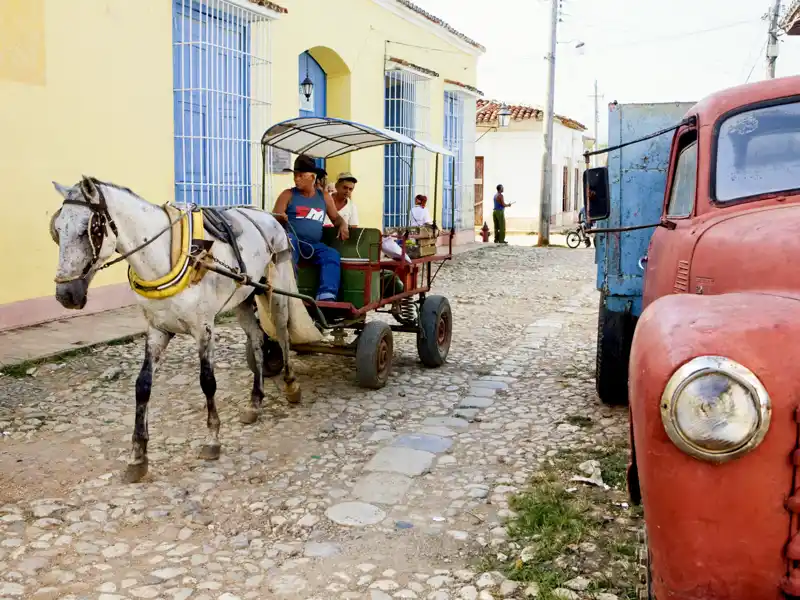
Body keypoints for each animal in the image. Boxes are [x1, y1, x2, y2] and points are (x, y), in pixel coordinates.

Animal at [48, 175, 318, 482]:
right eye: (57, 230)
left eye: (90, 229)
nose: (66, 295)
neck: (166, 256)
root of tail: (269, 216)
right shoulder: (157, 329)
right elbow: (142, 385)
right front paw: (138, 456)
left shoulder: (204, 328)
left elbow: (207, 381)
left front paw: (212, 440)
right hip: (243, 297)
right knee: (258, 341)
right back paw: (255, 402)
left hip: (277, 290)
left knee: (283, 335)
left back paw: (291, 385)